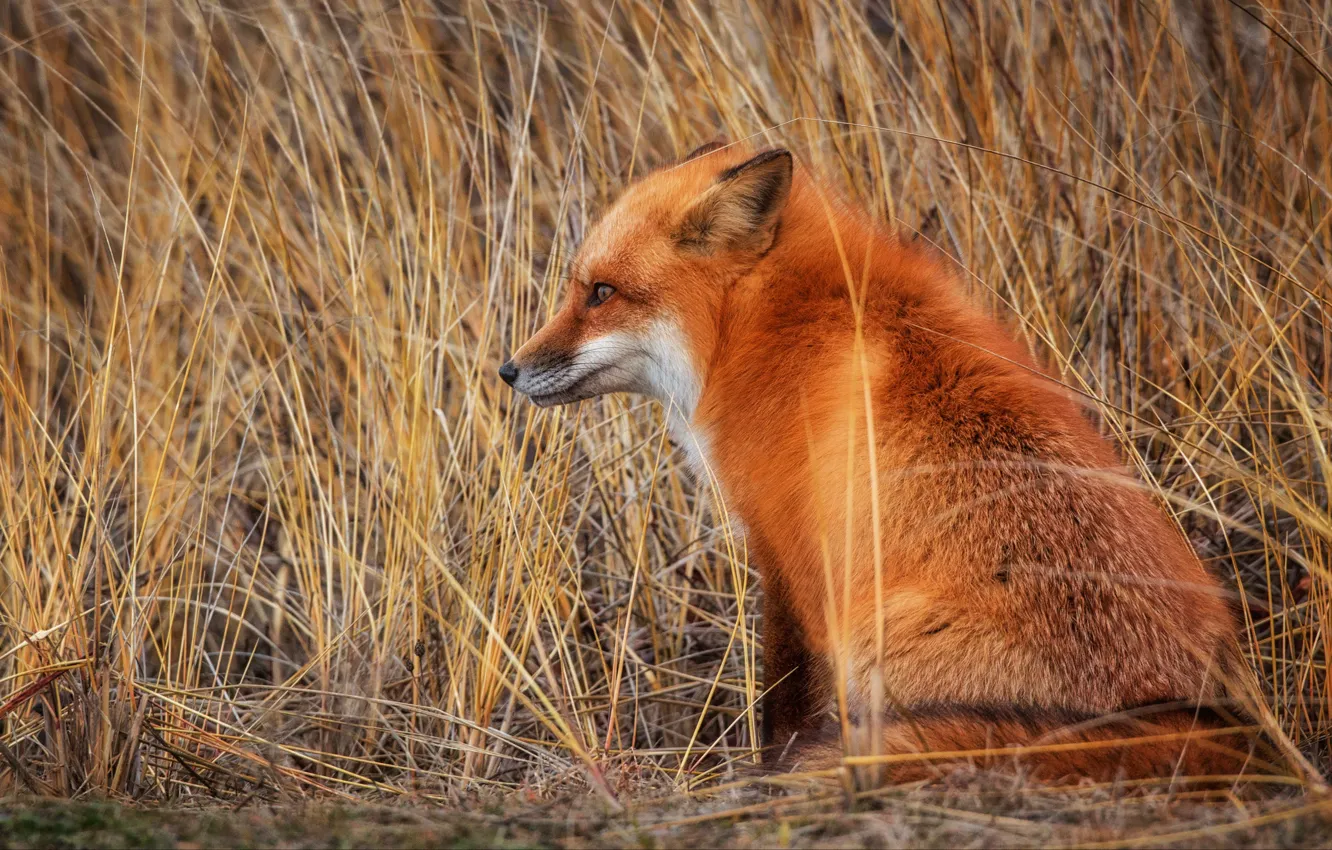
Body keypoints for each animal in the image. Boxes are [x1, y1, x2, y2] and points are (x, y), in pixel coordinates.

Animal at [500, 141, 1266, 783]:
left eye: (601, 293)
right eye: (580, 288)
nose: (509, 370)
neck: (760, 325)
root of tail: (1214, 727)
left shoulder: (792, 553)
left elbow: (783, 698)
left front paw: (765, 776)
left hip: (877, 634)